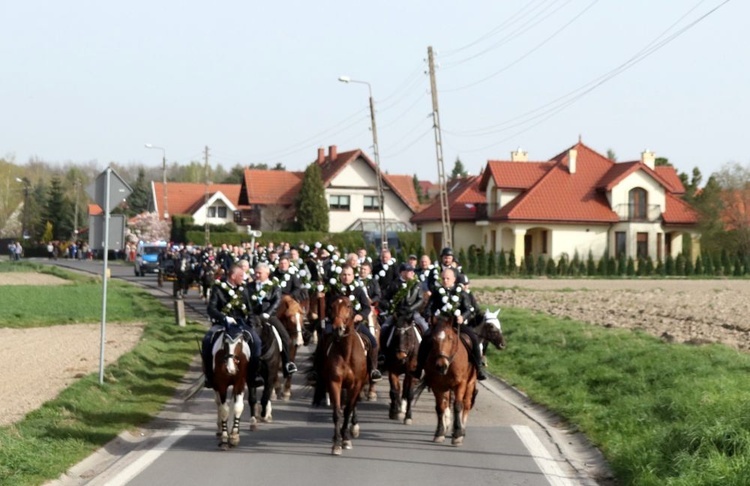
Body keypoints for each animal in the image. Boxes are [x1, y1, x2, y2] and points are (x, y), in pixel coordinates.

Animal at [312, 296, 368, 456]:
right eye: (331, 306)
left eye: (349, 306)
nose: (338, 329)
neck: (346, 352)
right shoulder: (334, 382)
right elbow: (337, 412)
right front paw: (337, 443)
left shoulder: (356, 384)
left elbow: (348, 409)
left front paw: (346, 439)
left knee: (353, 404)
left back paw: (353, 428)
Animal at [426, 314, 478, 446]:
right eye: (433, 339)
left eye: (450, 338)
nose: (441, 366)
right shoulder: (437, 385)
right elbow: (440, 407)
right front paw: (439, 433)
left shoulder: (460, 384)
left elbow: (458, 406)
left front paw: (458, 435)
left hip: (470, 383)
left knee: (466, 404)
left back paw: (462, 429)